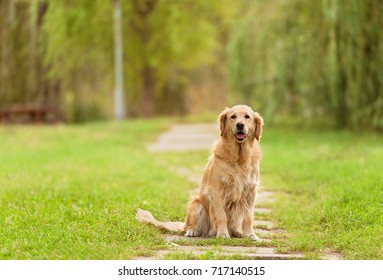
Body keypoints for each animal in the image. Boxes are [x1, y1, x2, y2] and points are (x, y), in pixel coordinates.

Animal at [136, 105, 266, 241]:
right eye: (233, 117)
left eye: (247, 117)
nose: (240, 125)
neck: (239, 159)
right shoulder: (218, 190)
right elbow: (222, 216)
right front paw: (223, 234)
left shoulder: (251, 191)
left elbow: (248, 217)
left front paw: (250, 235)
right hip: (197, 205)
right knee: (191, 226)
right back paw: (193, 231)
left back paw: (237, 232)